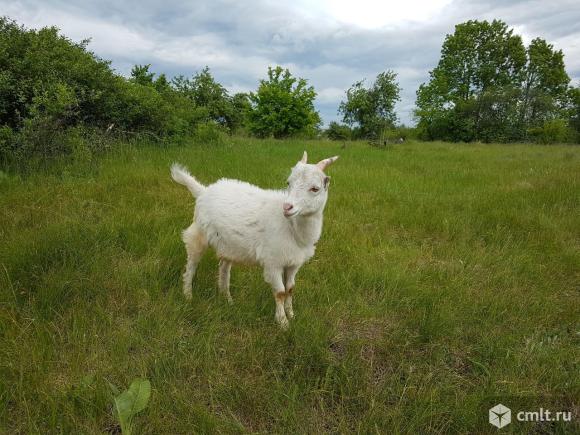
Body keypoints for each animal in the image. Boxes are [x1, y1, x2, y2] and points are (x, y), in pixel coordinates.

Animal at [170, 152, 338, 328]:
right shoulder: (273, 262)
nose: (287, 207)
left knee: (224, 267)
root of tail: (203, 191)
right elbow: (280, 292)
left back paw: (227, 299)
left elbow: (290, 289)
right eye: (288, 183)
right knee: (191, 265)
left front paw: (292, 315)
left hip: (228, 244)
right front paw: (283, 323)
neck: (292, 227)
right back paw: (188, 296)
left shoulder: (293, 263)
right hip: (198, 234)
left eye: (315, 189)